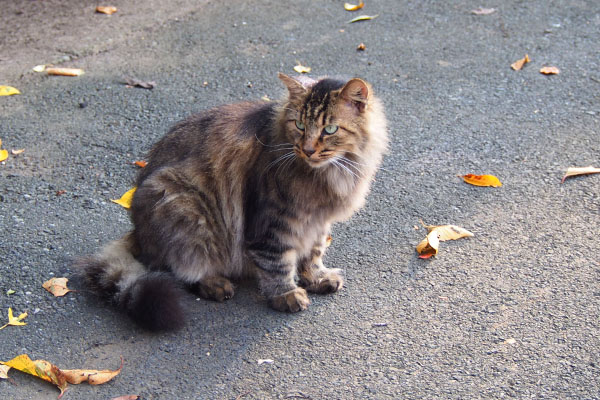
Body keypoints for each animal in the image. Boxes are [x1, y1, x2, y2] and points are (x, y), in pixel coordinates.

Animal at [76, 72, 390, 332]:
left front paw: (316, 277)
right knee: (177, 267)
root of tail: (137, 232)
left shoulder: (317, 221)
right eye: (300, 125)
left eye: (330, 130)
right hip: (185, 209)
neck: (329, 174)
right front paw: (286, 294)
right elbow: (278, 263)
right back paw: (214, 283)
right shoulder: (272, 222)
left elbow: (313, 253)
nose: (308, 149)